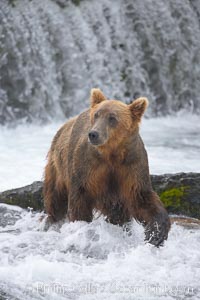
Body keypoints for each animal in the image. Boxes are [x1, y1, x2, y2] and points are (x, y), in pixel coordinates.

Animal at [43, 88, 170, 246]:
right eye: (96, 115)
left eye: (112, 118)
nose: (93, 134)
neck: (111, 154)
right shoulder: (87, 167)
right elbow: (79, 198)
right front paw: (80, 227)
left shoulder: (131, 166)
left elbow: (142, 198)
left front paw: (156, 233)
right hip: (58, 165)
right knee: (55, 197)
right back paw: (52, 222)